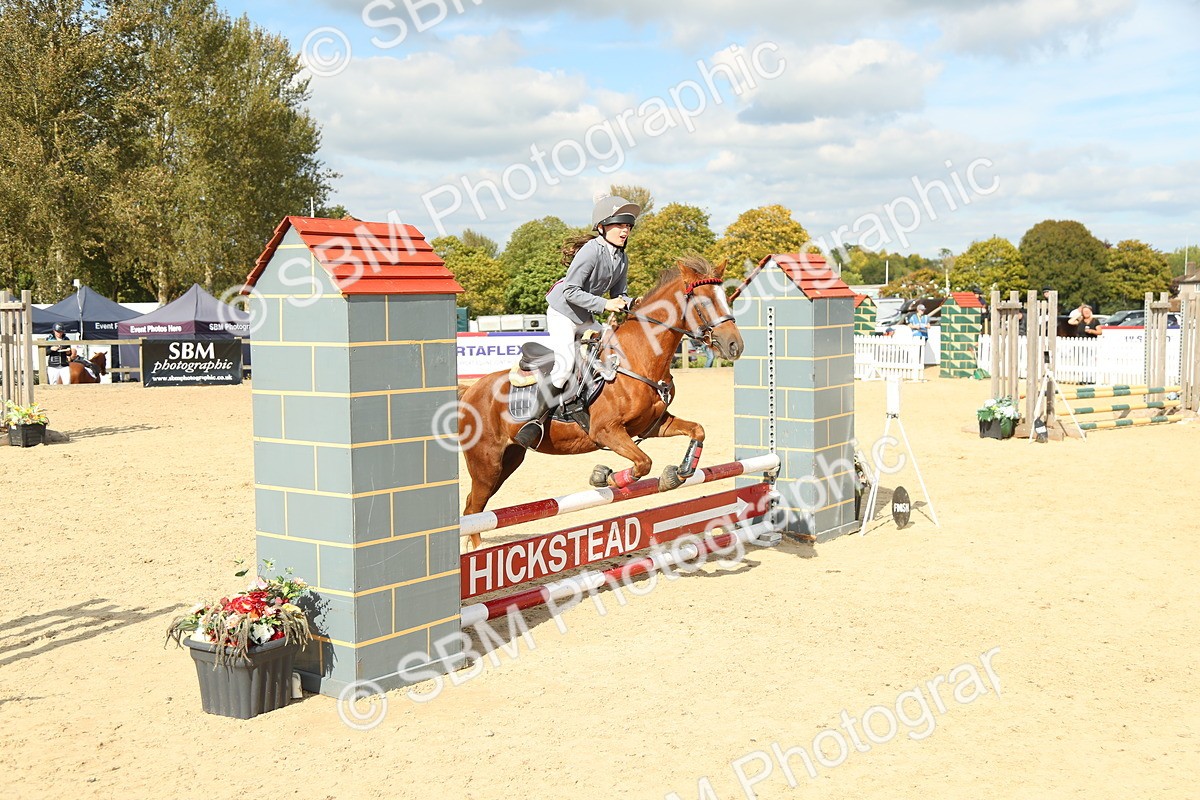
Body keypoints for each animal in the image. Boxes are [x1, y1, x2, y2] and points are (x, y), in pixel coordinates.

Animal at [458, 255, 744, 550]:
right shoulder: (606, 431)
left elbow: (697, 430)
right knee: (474, 508)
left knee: (476, 506)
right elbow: (643, 462)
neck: (637, 358)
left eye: (727, 298)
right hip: (486, 463)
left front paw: (679, 472)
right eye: (705, 302)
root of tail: (472, 389)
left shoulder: (653, 425)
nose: (735, 345)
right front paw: (605, 476)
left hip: (510, 459)